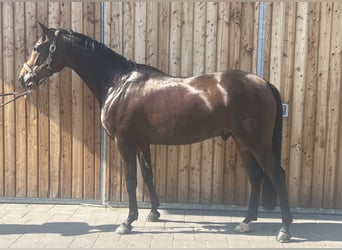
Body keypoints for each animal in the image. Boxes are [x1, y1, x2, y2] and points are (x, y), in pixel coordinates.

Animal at [18, 23, 292, 242]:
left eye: (37, 48)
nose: (23, 79)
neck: (119, 82)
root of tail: (263, 83)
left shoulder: (124, 142)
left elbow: (131, 179)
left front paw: (127, 222)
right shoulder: (142, 143)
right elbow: (148, 176)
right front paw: (154, 213)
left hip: (256, 143)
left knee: (277, 174)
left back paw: (284, 230)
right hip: (242, 142)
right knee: (255, 177)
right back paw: (246, 222)